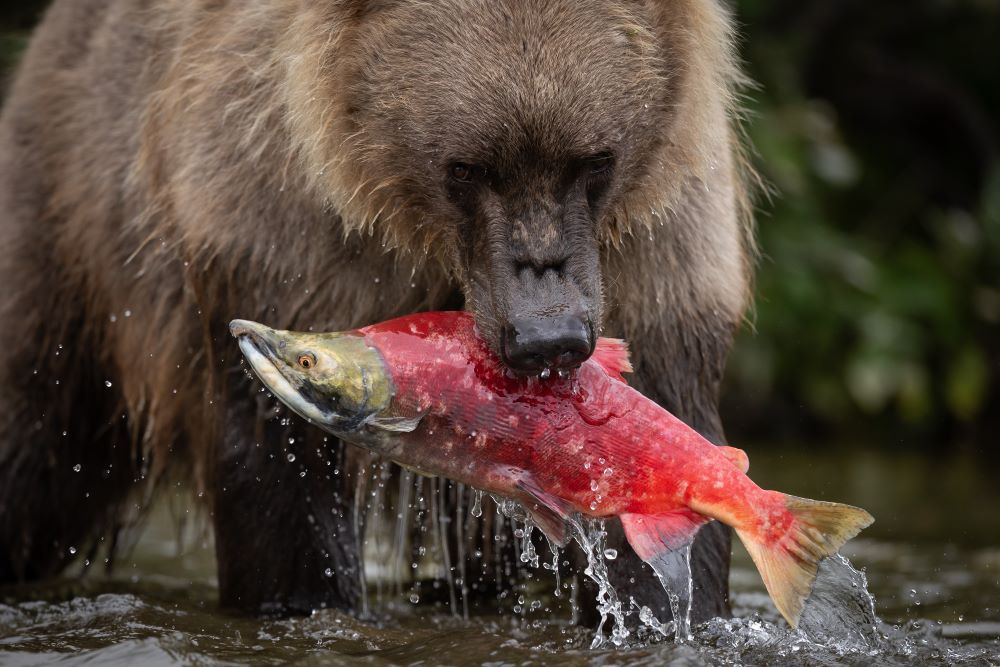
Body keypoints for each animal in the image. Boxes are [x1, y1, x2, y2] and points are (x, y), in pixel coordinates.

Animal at [0, 0, 752, 620]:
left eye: (594, 160)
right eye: (466, 166)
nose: (549, 333)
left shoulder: (653, 252)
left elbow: (653, 455)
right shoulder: (283, 227)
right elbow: (283, 473)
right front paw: (303, 599)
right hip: (76, 231)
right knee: (34, 436)